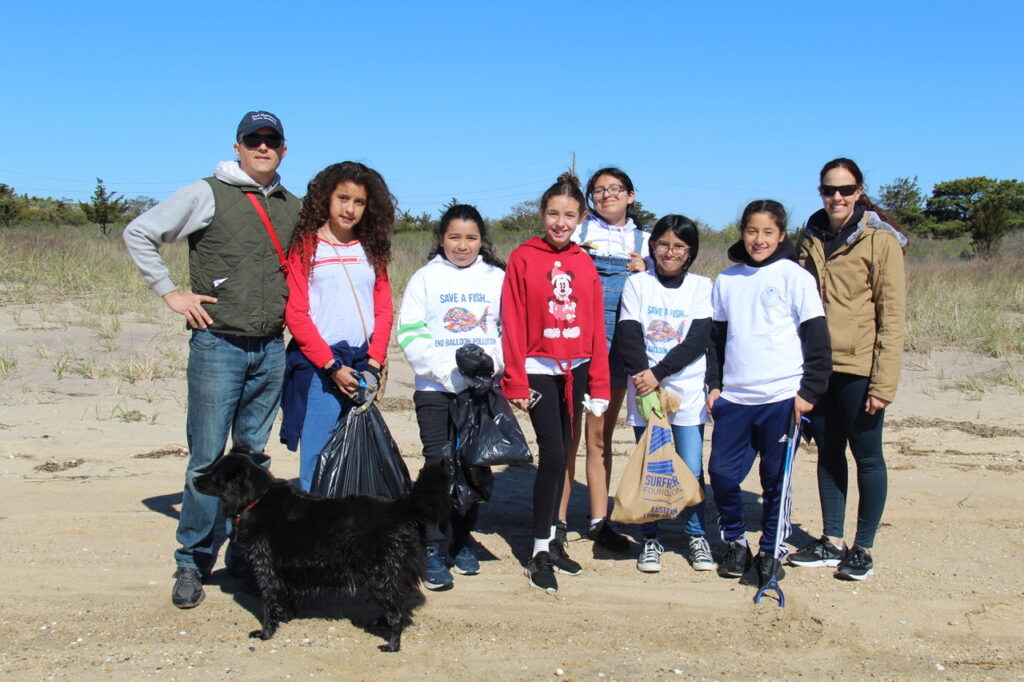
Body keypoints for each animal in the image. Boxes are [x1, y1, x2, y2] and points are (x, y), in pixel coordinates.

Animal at [192, 450, 448, 647]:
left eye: (215, 474)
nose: (194, 480)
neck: (257, 499)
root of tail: (397, 508)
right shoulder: (283, 574)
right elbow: (284, 599)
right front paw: (287, 616)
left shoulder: (266, 570)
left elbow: (268, 605)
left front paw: (265, 633)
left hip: (380, 577)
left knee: (396, 613)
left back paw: (391, 645)